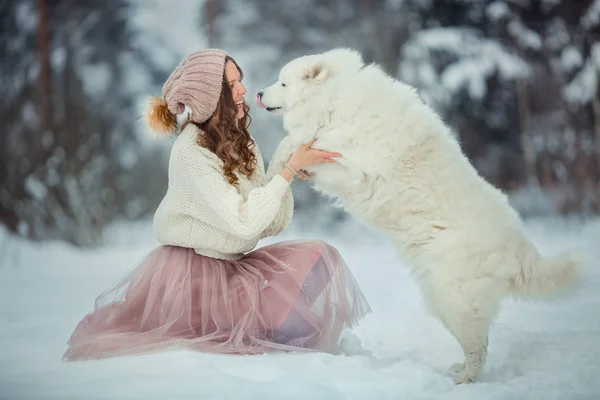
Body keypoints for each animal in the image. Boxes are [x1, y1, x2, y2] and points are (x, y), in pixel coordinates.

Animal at [256, 48, 584, 382]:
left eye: (283, 83)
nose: (258, 93)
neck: (334, 100)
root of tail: (519, 250)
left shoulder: (351, 167)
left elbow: (298, 147)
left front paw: (279, 169)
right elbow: (292, 146)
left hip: (451, 298)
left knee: (478, 347)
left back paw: (465, 380)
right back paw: (460, 370)